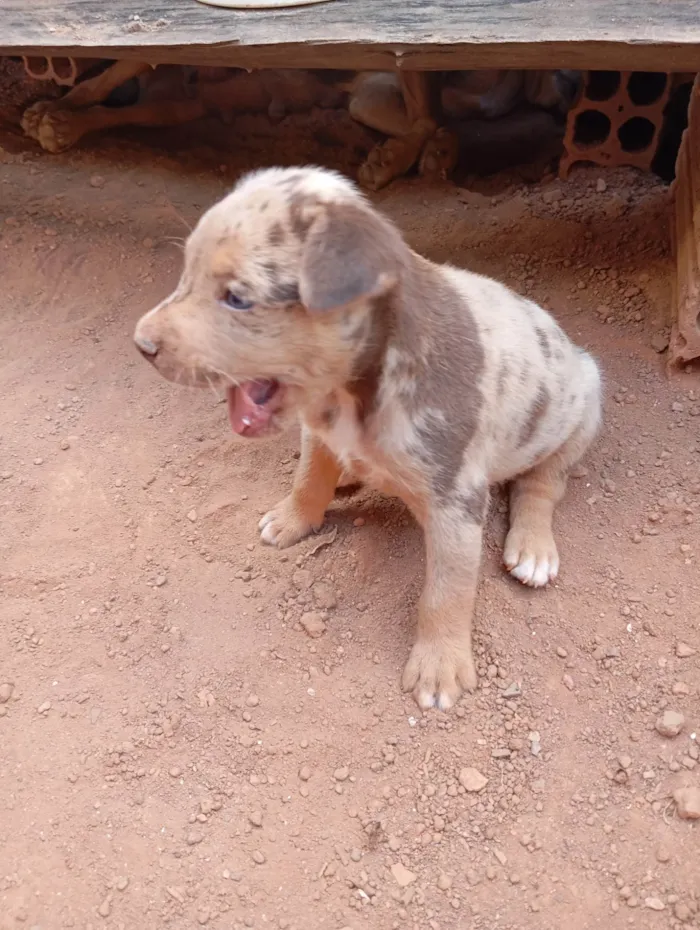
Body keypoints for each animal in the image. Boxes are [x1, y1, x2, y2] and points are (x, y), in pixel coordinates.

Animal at [135, 167, 600, 708]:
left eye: (237, 298)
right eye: (186, 273)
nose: (140, 344)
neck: (352, 397)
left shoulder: (456, 500)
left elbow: (447, 591)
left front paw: (439, 668)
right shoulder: (318, 434)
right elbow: (308, 480)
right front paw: (292, 519)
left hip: (584, 401)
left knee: (543, 482)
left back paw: (533, 548)